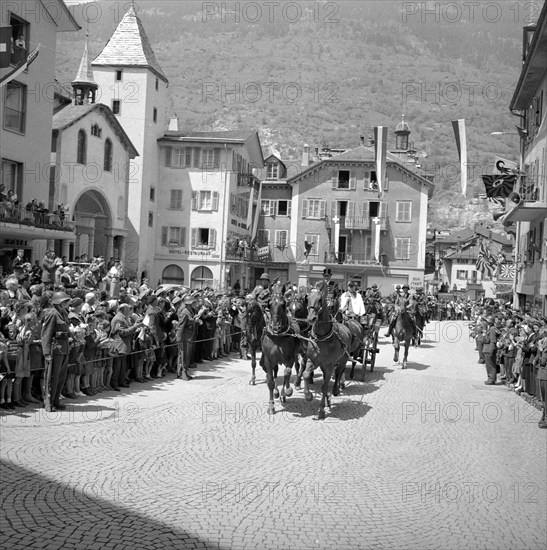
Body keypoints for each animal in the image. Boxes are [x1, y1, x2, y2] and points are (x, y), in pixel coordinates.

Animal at [302, 286, 354, 420]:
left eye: (320, 299)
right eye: (307, 298)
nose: (311, 318)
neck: (322, 337)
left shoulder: (329, 365)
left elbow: (325, 386)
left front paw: (321, 410)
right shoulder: (312, 361)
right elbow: (306, 374)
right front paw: (308, 396)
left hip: (342, 360)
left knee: (339, 372)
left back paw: (336, 390)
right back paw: (327, 401)